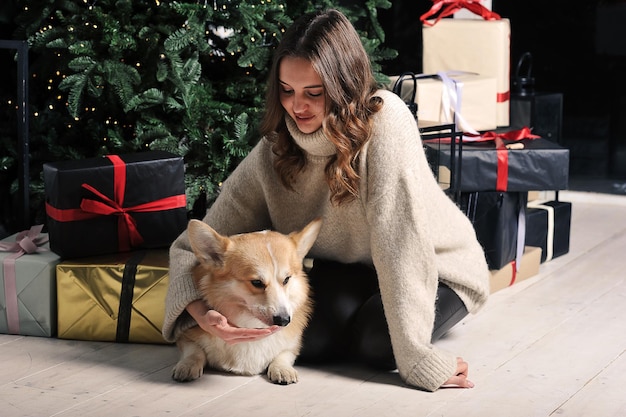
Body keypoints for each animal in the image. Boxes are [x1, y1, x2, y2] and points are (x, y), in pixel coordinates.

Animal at [169, 218, 322, 384]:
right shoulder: (185, 336)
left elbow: (284, 354)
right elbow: (194, 351)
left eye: (287, 279)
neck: (251, 323)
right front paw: (187, 365)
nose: (284, 321)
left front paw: (282, 369)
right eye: (256, 282)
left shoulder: (292, 345)